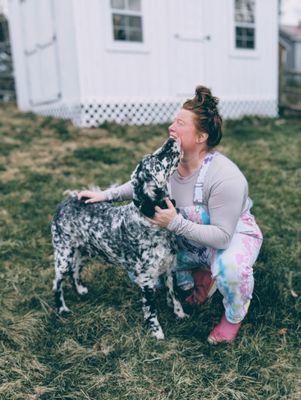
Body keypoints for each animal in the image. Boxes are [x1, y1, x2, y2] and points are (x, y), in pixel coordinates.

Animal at [51, 138, 185, 340]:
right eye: (156, 159)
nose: (171, 139)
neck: (151, 219)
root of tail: (67, 201)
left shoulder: (170, 267)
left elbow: (174, 294)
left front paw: (179, 313)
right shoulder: (146, 278)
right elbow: (151, 309)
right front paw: (156, 331)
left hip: (84, 252)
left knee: (75, 271)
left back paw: (80, 289)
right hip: (64, 256)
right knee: (57, 283)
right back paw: (62, 308)